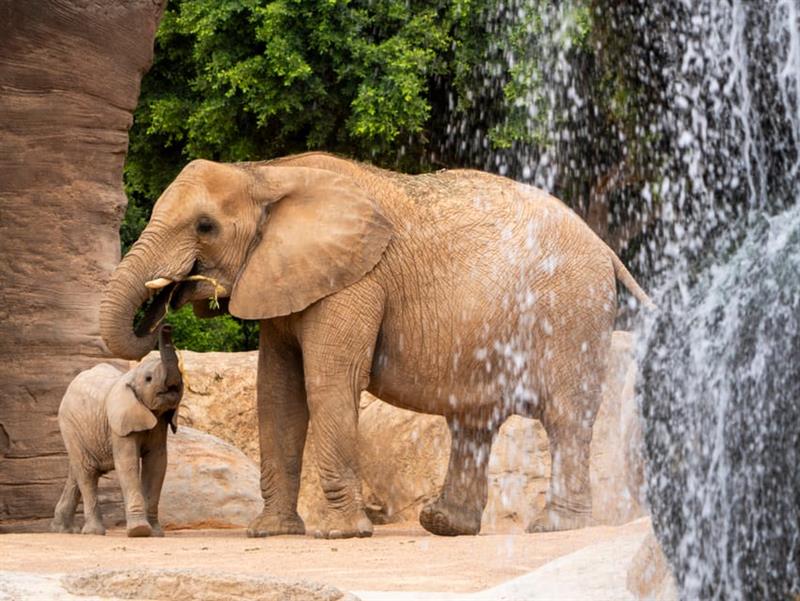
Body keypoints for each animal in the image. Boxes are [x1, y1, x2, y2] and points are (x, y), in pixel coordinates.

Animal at [52, 326, 184, 536]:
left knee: (76, 470)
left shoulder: (160, 423)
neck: (131, 375)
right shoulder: (119, 424)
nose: (166, 326)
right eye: (149, 379)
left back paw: (63, 530)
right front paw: (139, 531)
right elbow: (127, 463)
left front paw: (155, 533)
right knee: (87, 472)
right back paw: (93, 532)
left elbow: (157, 463)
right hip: (68, 424)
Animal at [100, 151, 652, 540]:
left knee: (565, 418)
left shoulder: (356, 281)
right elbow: (277, 394)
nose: (165, 311)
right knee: (474, 419)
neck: (267, 173)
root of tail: (604, 246)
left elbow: (328, 383)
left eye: (205, 226)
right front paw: (271, 532)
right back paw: (445, 525)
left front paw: (340, 534)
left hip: (571, 313)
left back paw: (554, 527)